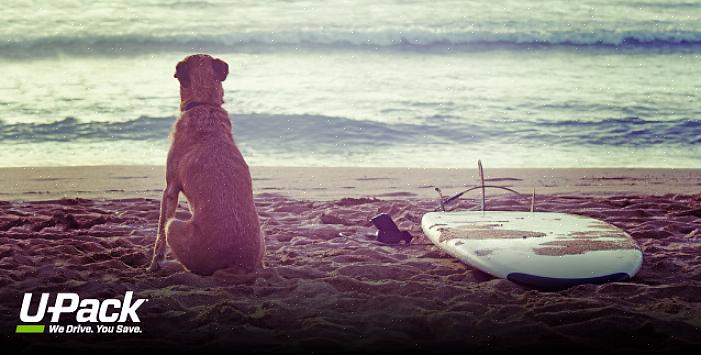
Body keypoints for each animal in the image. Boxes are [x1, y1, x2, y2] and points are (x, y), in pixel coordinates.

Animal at [148, 53, 266, 276]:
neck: (204, 104)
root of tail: (237, 263)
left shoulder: (170, 189)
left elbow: (159, 234)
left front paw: (154, 264)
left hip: (175, 227)